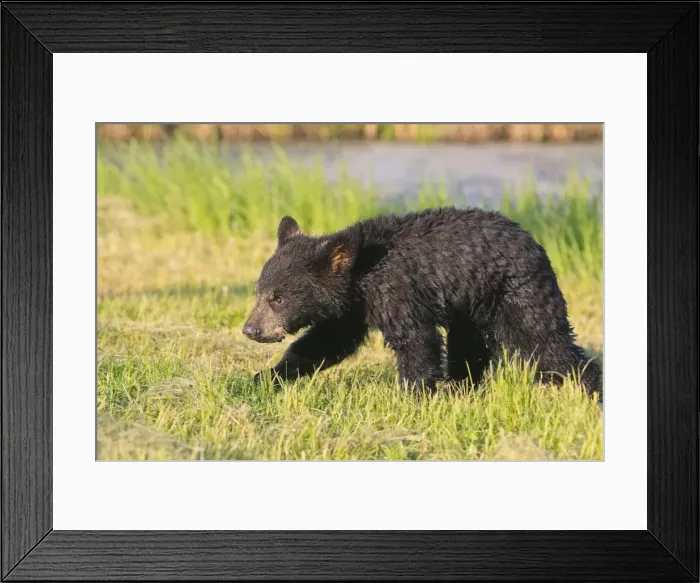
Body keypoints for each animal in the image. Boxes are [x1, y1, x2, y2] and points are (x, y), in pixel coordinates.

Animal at [242, 208, 602, 398]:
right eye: (258, 292)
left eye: (278, 298)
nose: (250, 329)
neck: (362, 273)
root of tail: (535, 241)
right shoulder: (353, 310)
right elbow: (325, 342)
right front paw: (267, 376)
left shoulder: (399, 291)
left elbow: (415, 341)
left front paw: (413, 396)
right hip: (471, 306)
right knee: (469, 347)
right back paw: (461, 388)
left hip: (515, 292)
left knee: (544, 339)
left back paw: (588, 389)